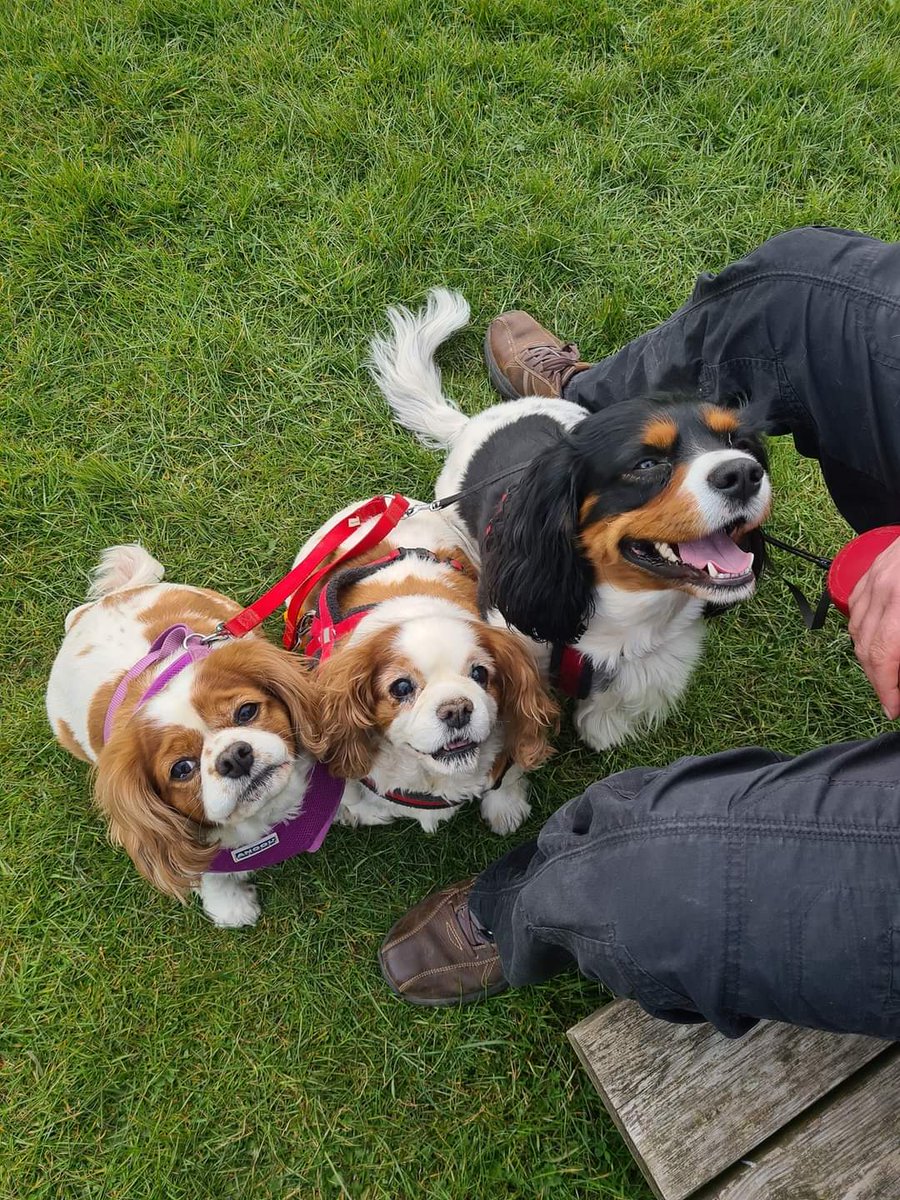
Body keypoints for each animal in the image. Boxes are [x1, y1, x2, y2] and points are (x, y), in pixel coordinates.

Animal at [45, 544, 326, 926]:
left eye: (246, 712)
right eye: (182, 769)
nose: (234, 756)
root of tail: (107, 601)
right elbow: (206, 872)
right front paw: (231, 907)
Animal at [296, 499, 556, 835]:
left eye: (480, 673)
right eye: (401, 687)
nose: (456, 710)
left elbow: (508, 770)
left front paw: (505, 807)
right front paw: (354, 810)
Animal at [369, 288, 772, 748]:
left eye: (737, 441)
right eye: (647, 463)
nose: (744, 473)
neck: (624, 605)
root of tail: (473, 423)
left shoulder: (652, 659)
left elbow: (610, 703)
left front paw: (602, 734)